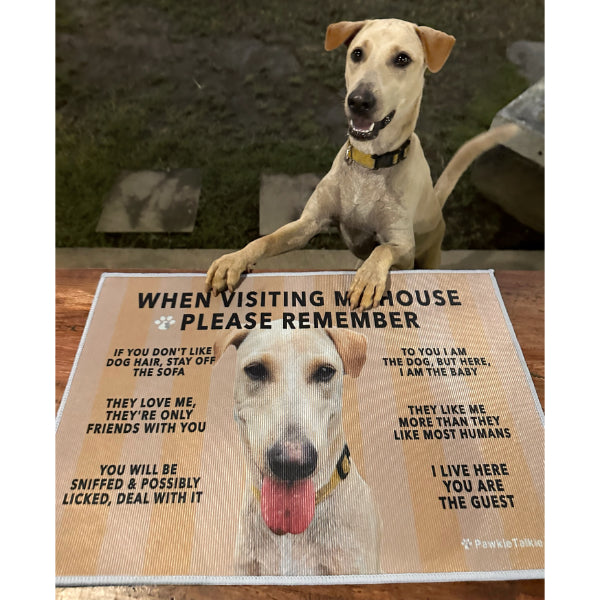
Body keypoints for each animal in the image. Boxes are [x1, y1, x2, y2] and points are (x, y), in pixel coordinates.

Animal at [206, 18, 516, 310]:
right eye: (357, 53)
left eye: (402, 58)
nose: (358, 101)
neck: (369, 165)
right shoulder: (308, 223)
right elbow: (265, 239)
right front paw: (234, 260)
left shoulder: (402, 246)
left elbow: (382, 250)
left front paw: (368, 280)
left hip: (430, 252)